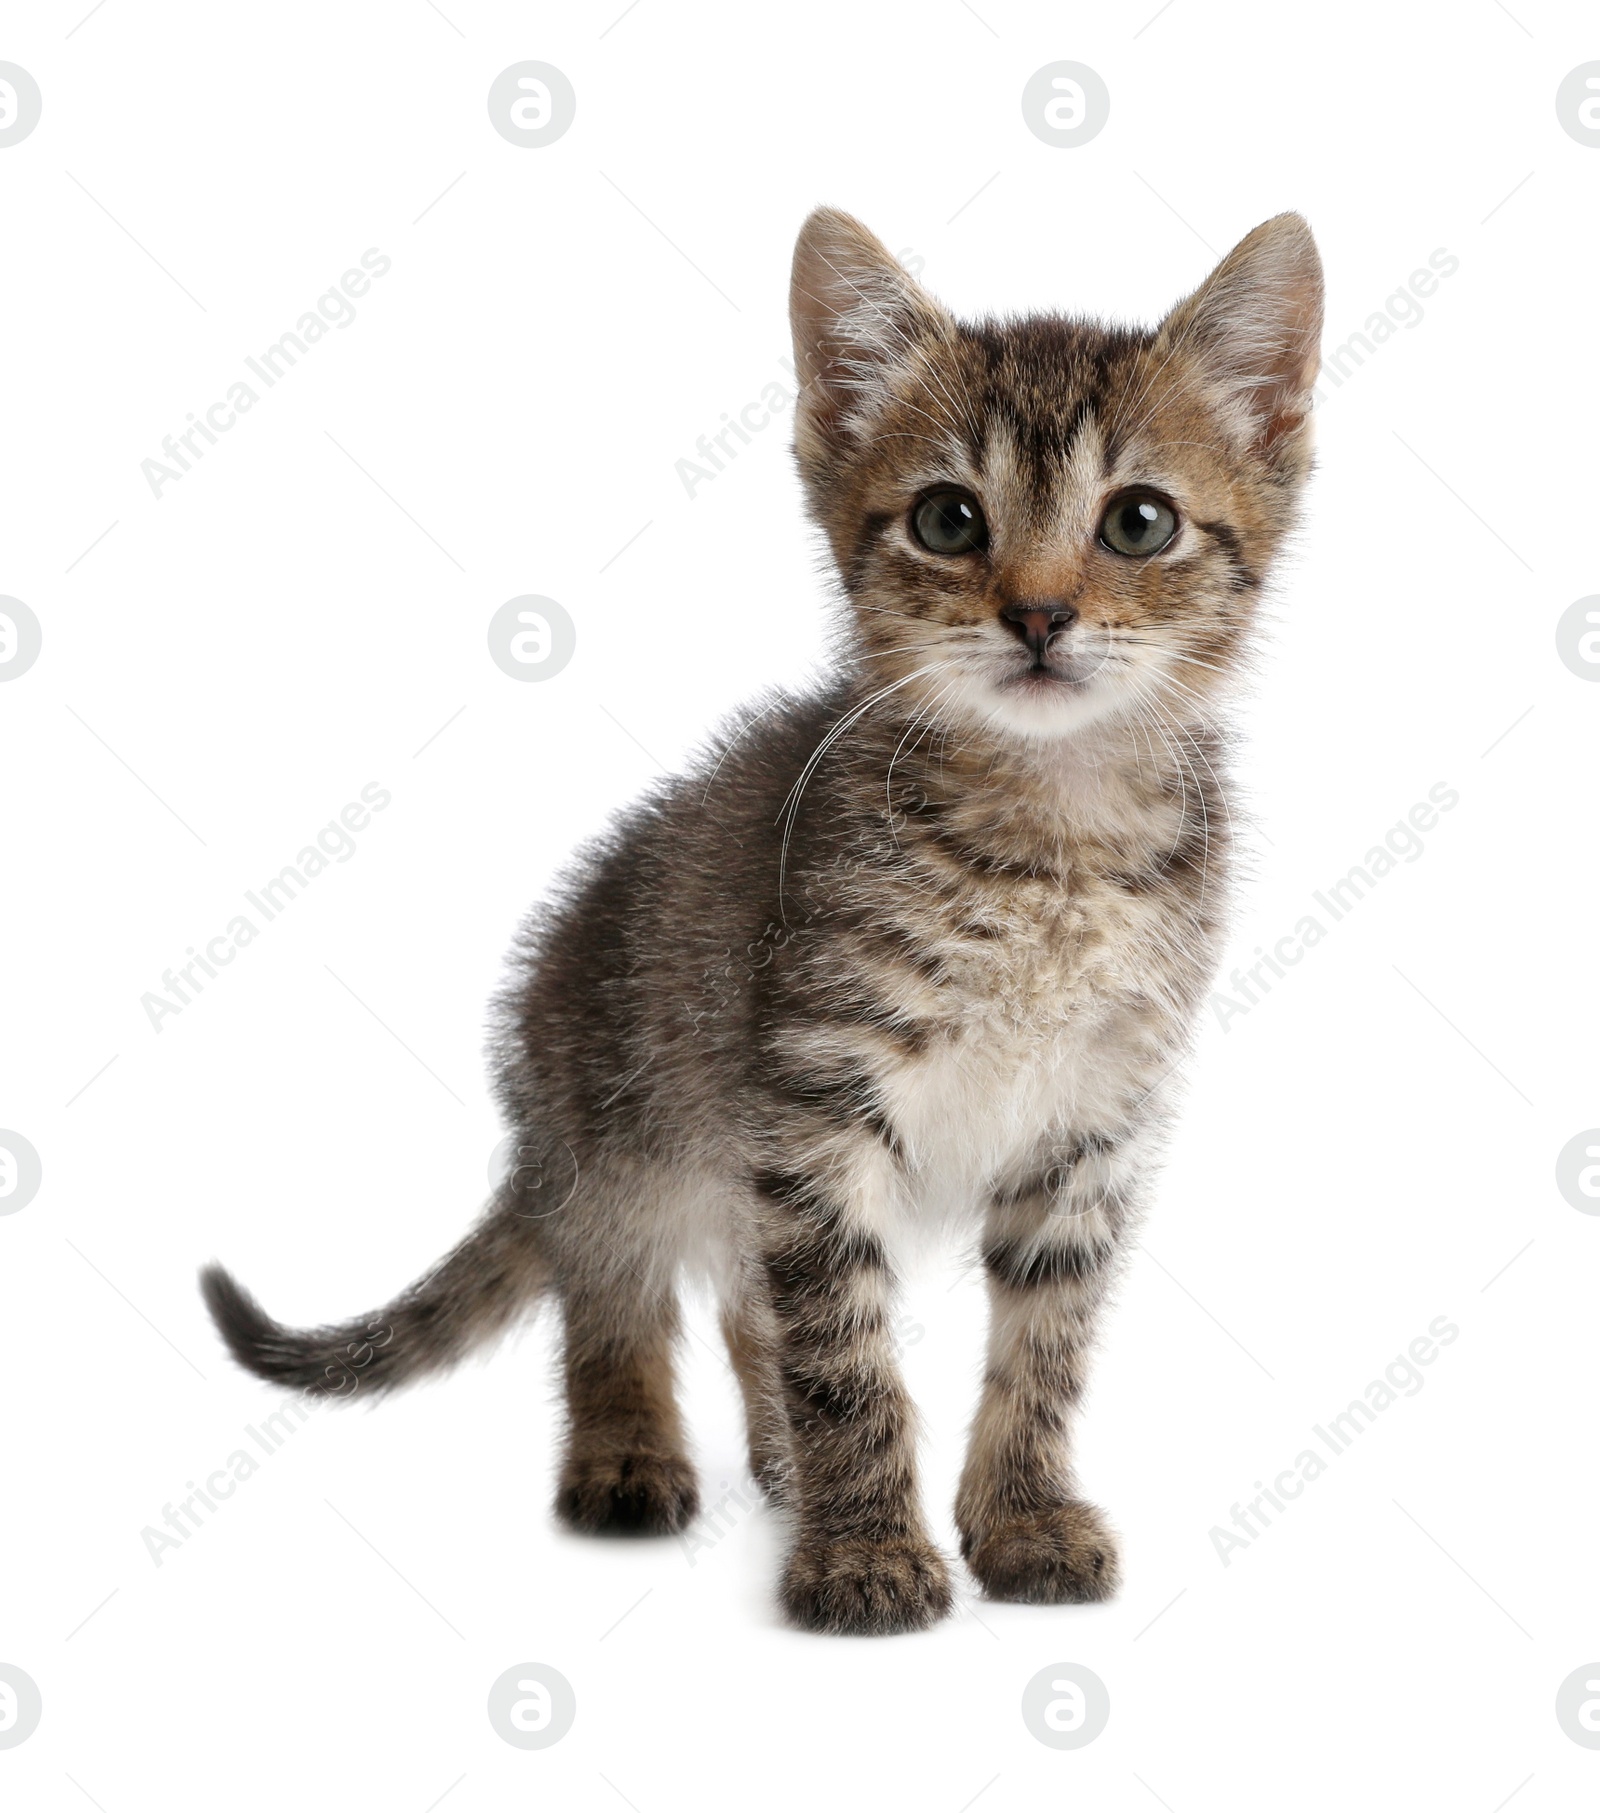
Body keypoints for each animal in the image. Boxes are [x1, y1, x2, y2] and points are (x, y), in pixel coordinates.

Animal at [200, 205, 1326, 1638]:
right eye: (949, 518)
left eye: (1138, 522)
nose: (1037, 612)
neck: (1051, 842)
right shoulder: (816, 1093)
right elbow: (845, 1348)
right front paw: (865, 1551)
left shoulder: (1088, 1123)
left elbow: (1042, 1342)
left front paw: (1018, 1515)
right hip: (619, 1114)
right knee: (614, 1295)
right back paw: (628, 1453)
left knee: (744, 1296)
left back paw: (780, 1456)